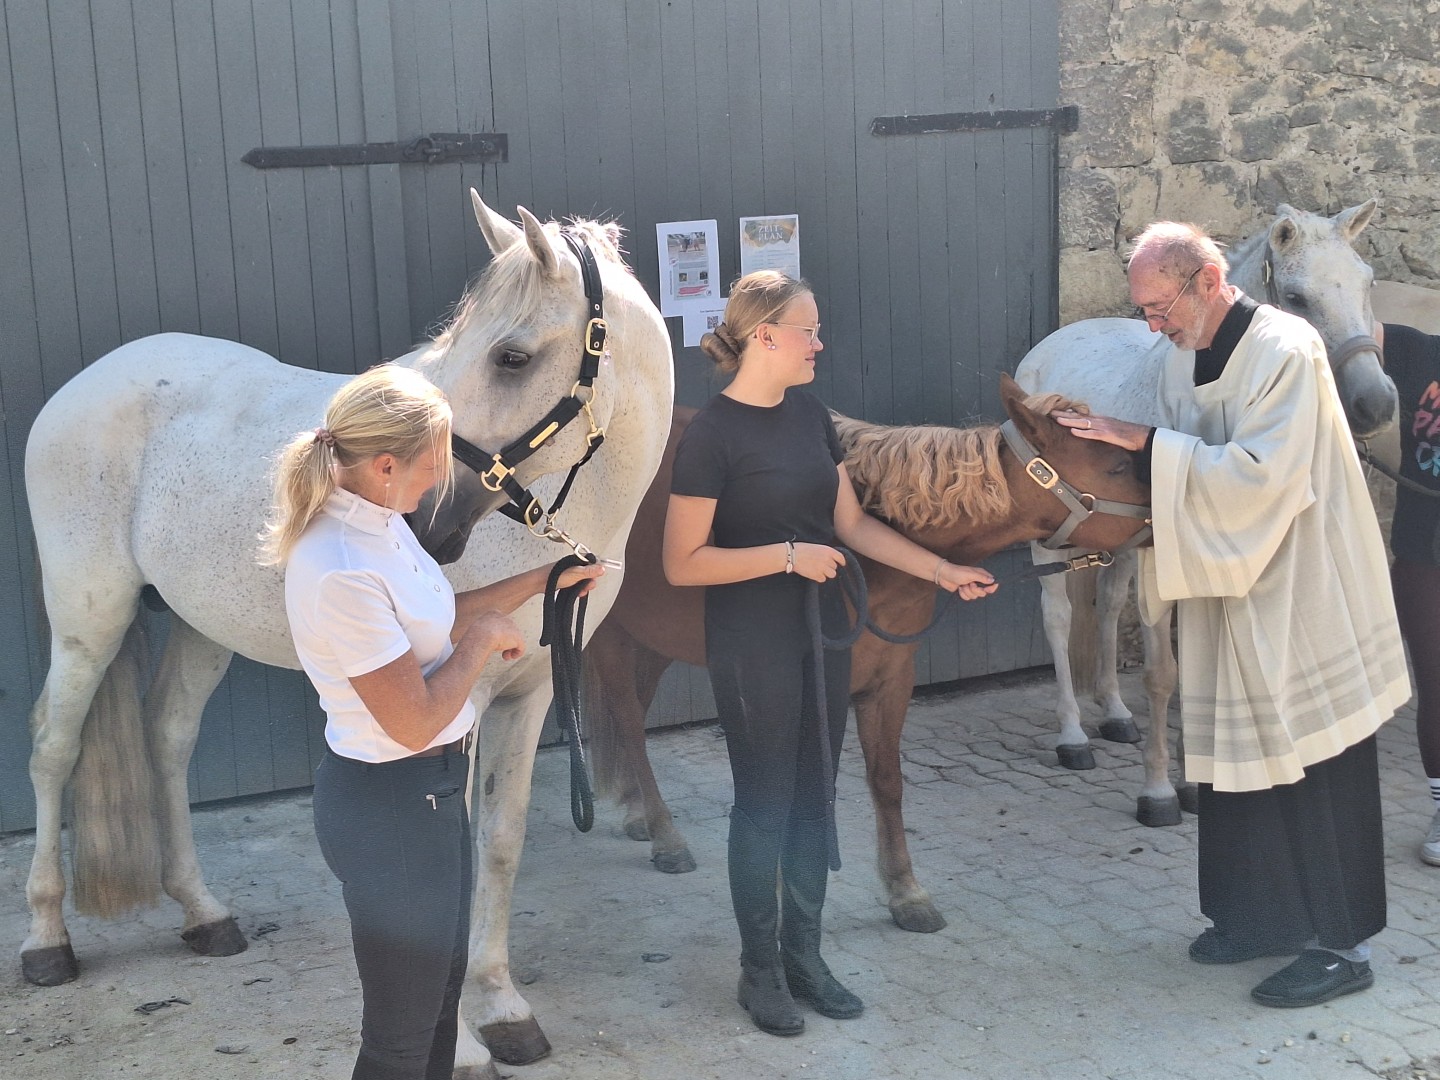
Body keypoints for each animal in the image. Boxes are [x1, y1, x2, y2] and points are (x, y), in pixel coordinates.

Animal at [22, 197, 673, 1080]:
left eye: (511, 356)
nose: (426, 519)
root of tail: (88, 383)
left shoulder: (533, 692)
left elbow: (500, 846)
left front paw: (502, 1008)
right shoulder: (459, 701)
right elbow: (452, 860)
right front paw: (466, 1043)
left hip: (198, 626)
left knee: (168, 738)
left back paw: (203, 915)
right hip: (88, 619)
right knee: (53, 750)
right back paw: (46, 941)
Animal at [1013, 203, 1393, 829]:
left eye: (1368, 283)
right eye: (1297, 296)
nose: (1377, 403)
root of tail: (1049, 348)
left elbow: (1197, 671)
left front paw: (1197, 779)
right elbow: (1163, 674)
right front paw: (1160, 791)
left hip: (1119, 548)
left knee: (1108, 605)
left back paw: (1113, 714)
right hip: (1054, 543)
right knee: (1058, 617)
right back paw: (1073, 737)